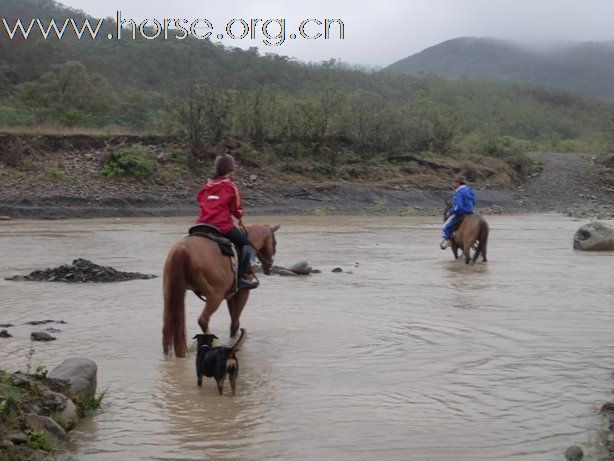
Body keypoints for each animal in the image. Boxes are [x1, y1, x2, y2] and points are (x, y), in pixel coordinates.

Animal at [162, 223, 280, 356]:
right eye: (275, 243)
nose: (269, 266)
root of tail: (183, 249)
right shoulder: (242, 292)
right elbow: (235, 323)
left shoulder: (231, 294)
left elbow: (233, 322)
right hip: (215, 296)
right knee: (203, 320)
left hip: (170, 293)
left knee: (167, 326)